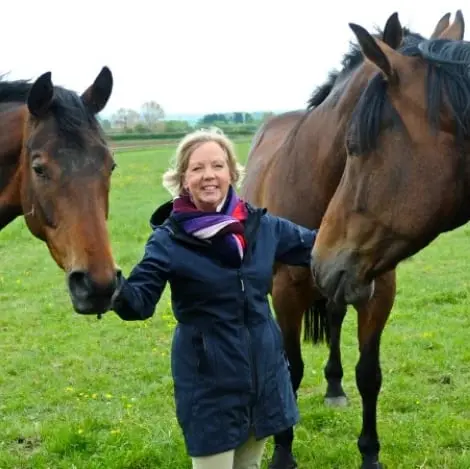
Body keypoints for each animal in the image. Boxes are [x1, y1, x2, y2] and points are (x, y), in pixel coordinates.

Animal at [241, 10, 464, 468]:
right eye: (352, 144)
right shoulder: (287, 290)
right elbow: (290, 367)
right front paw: (282, 452)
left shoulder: (376, 289)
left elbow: (369, 374)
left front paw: (370, 452)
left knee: (334, 317)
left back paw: (333, 386)